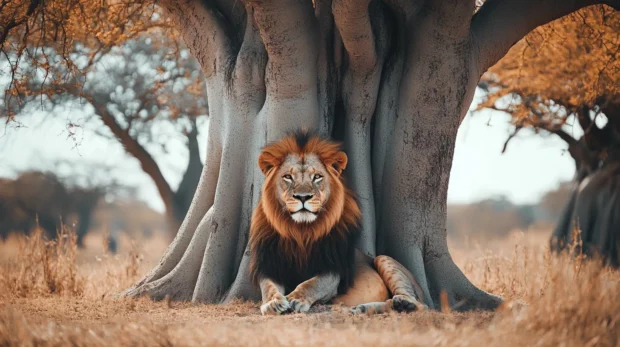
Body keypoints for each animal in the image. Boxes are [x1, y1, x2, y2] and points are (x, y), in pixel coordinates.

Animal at [249, 130, 428, 316]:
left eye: (317, 177)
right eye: (288, 177)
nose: (303, 197)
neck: (300, 231)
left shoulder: (334, 270)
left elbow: (311, 284)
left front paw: (294, 298)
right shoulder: (270, 265)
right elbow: (268, 287)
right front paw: (273, 303)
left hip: (384, 259)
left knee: (420, 305)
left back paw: (402, 304)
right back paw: (363, 308)